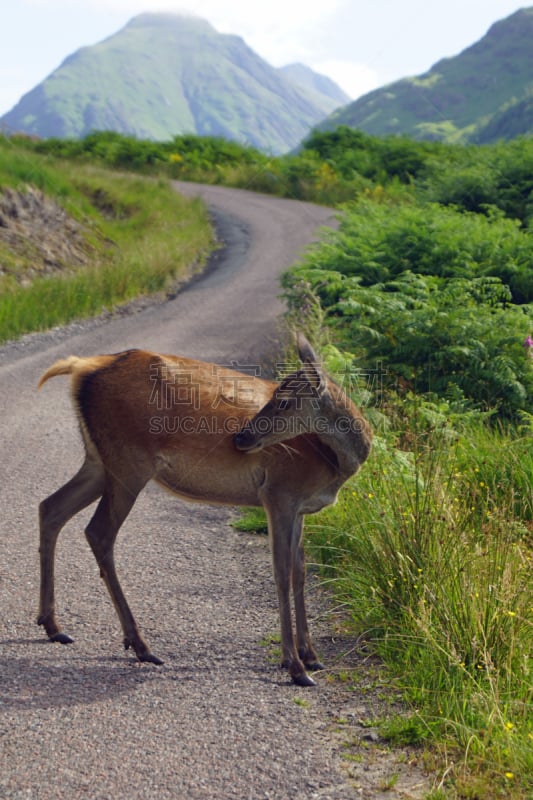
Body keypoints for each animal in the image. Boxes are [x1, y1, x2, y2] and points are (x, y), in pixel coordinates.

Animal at [37, 334, 372, 684]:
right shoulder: (280, 492)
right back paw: (140, 644)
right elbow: (281, 572)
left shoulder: (301, 509)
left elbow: (300, 572)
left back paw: (53, 626)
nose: (241, 436)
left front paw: (311, 656)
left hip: (98, 461)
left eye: (285, 401)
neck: (333, 465)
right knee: (98, 532)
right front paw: (294, 665)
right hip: (128, 461)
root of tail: (82, 367)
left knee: (51, 507)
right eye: (275, 395)